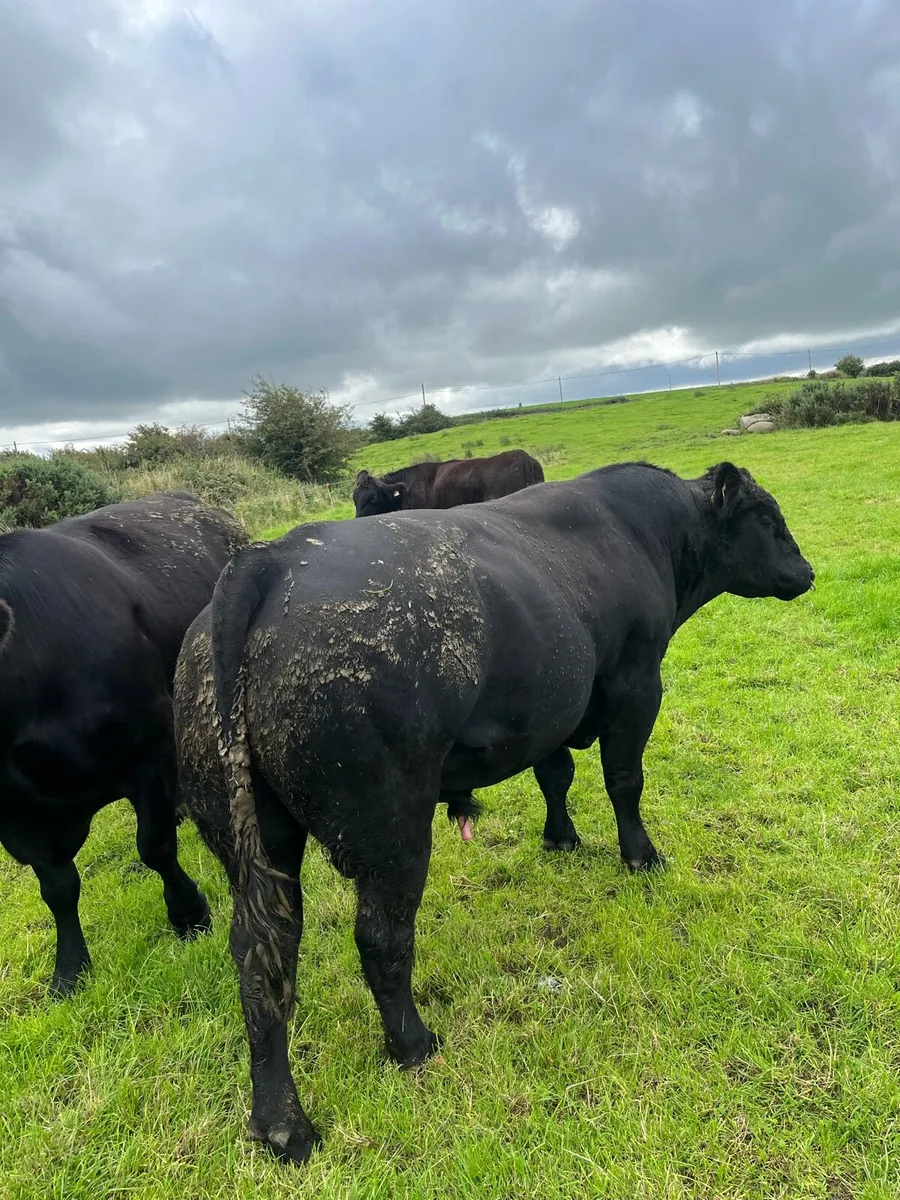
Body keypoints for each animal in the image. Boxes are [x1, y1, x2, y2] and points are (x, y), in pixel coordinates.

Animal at [0, 492, 246, 997]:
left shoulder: (150, 750)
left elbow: (154, 845)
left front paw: (189, 914)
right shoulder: (17, 818)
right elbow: (56, 887)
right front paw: (69, 968)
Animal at [174, 460, 813, 1164]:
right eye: (768, 518)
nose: (807, 571)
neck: (649, 532)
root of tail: (270, 559)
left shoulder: (552, 704)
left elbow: (555, 774)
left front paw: (561, 838)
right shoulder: (634, 684)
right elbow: (623, 780)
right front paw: (641, 856)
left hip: (255, 840)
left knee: (261, 954)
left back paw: (281, 1124)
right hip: (391, 826)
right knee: (380, 936)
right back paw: (412, 1045)